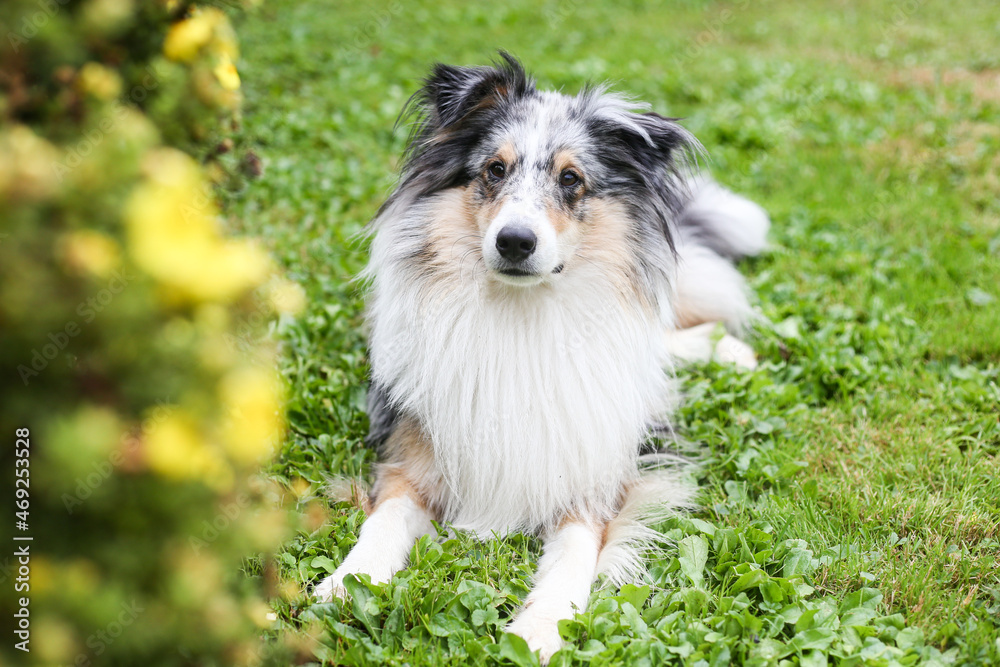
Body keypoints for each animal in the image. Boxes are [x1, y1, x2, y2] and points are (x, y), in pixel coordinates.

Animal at [316, 52, 768, 664]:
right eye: (494, 170)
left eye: (570, 179)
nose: (514, 242)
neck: (520, 318)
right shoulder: (410, 459)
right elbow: (381, 524)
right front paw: (349, 582)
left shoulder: (592, 480)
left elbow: (573, 557)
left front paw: (539, 628)